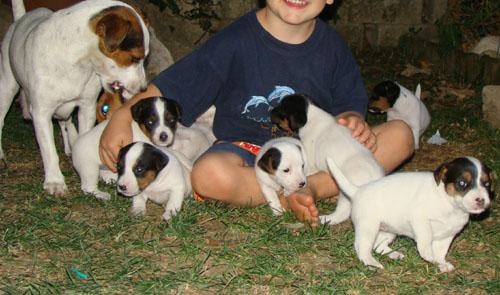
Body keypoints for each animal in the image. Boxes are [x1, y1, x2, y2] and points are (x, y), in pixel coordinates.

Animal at [0, 0, 149, 197]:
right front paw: (55, 181)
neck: (77, 62)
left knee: (65, 123)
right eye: (134, 58)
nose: (143, 89)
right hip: (7, 86)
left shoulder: (87, 108)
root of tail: (20, 19)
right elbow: (49, 151)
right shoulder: (41, 114)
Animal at [270, 93, 382, 225]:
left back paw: (324, 219)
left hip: (346, 192)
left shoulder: (309, 162)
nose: (269, 111)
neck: (311, 114)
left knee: (342, 214)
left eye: (281, 109)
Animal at [326, 156, 494, 274]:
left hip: (388, 231)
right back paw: (371, 262)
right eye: (462, 183)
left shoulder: (448, 235)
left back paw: (393, 254)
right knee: (362, 247)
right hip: (368, 228)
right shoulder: (420, 218)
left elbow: (441, 252)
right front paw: (428, 255)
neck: (449, 203)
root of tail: (357, 191)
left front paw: (440, 263)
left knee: (378, 246)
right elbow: (426, 239)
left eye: (487, 184)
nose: (480, 200)